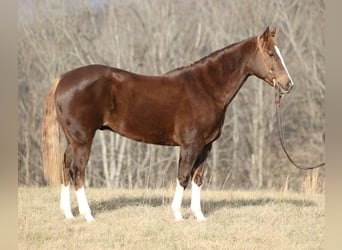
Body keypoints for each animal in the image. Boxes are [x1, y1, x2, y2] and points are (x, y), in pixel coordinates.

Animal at [42, 27, 294, 222]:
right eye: (271, 54)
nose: (288, 84)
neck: (206, 88)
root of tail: (63, 79)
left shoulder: (206, 146)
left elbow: (197, 178)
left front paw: (199, 216)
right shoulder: (190, 145)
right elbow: (183, 176)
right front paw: (178, 215)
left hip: (73, 140)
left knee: (66, 168)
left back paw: (69, 214)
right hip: (83, 139)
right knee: (77, 171)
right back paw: (88, 215)